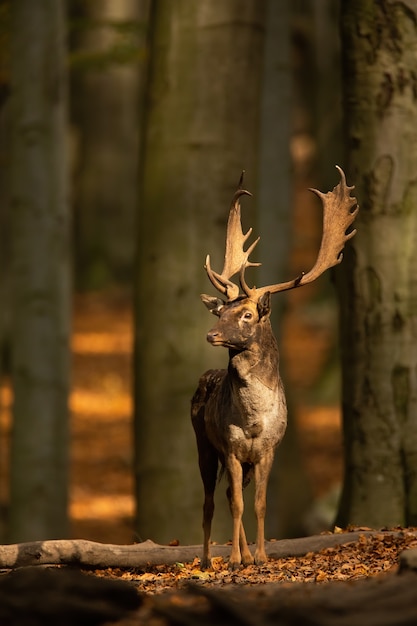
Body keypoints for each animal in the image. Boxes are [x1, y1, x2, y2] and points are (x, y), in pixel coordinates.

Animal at [190, 165, 356, 564]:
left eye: (247, 314)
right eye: (221, 311)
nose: (211, 334)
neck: (252, 419)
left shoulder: (268, 450)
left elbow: (260, 503)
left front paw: (261, 556)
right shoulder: (231, 447)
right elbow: (236, 504)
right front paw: (236, 559)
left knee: (230, 496)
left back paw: (246, 554)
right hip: (204, 442)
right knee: (211, 500)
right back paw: (209, 558)